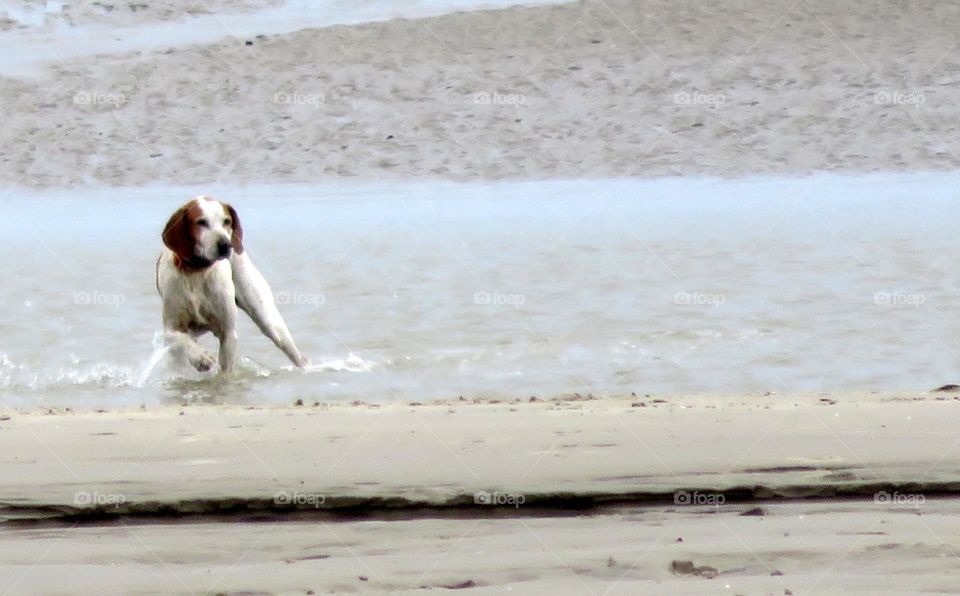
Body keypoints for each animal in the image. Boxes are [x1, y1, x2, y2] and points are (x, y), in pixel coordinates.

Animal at [157, 197, 308, 372]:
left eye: (226, 221)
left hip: (269, 320)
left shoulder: (228, 333)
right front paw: (200, 357)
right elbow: (178, 339)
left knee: (294, 352)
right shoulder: (170, 328)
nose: (225, 245)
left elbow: (225, 371)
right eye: (201, 222)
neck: (197, 272)